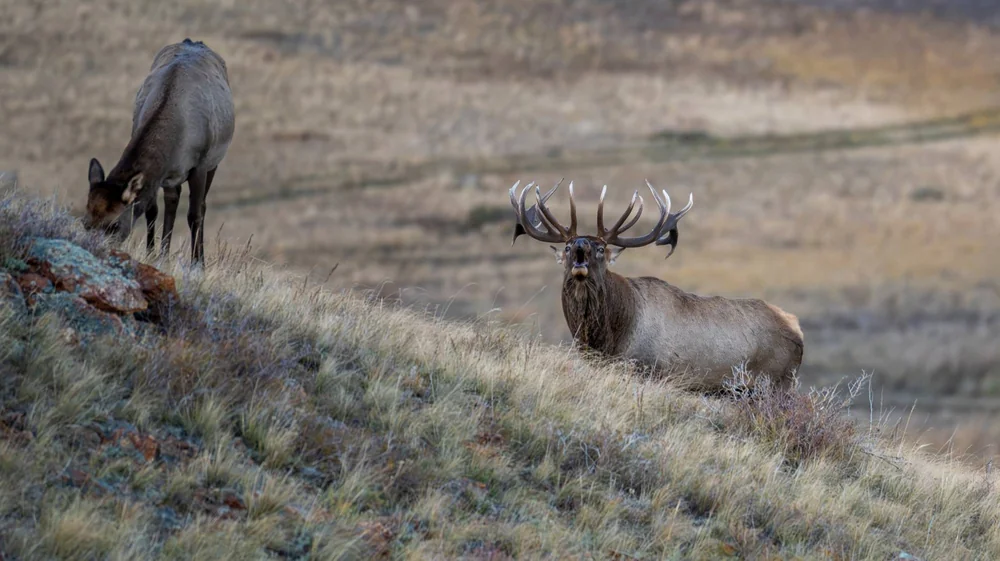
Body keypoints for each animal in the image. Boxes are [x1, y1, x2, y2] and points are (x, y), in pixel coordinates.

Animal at [84, 38, 235, 265]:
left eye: (114, 225)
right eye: (85, 222)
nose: (95, 249)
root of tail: (194, 41)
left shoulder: (199, 165)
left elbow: (194, 214)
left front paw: (198, 265)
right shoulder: (158, 174)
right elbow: (151, 210)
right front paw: (152, 254)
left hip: (214, 161)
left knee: (202, 205)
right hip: (172, 177)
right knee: (172, 201)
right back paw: (164, 253)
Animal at [509, 180, 804, 391]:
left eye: (601, 248)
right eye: (568, 247)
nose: (581, 244)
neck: (609, 338)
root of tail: (797, 329)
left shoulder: (651, 369)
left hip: (776, 382)